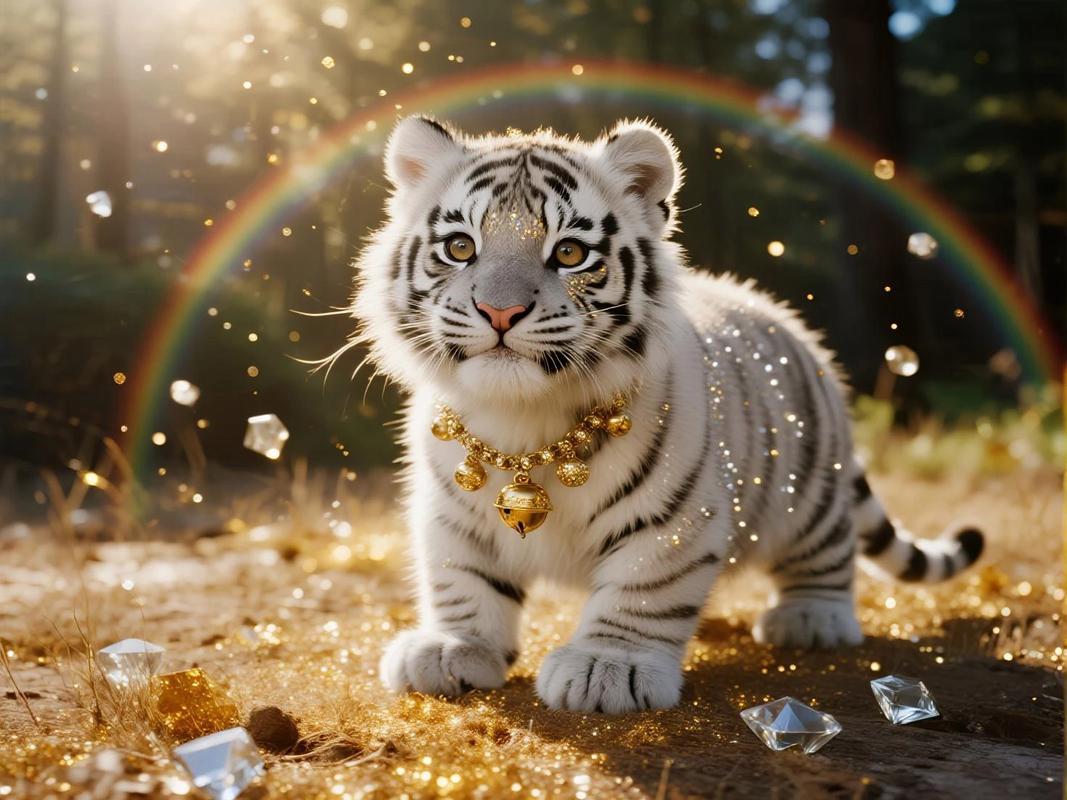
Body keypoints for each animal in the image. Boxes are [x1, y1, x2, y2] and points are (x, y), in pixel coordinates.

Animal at [350, 116, 984, 713]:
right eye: (460, 247)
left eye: (569, 252)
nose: (499, 311)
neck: (524, 418)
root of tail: (783, 318)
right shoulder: (449, 514)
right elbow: (461, 579)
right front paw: (452, 648)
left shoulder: (670, 516)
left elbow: (643, 589)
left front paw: (607, 667)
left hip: (809, 491)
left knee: (829, 551)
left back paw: (811, 619)